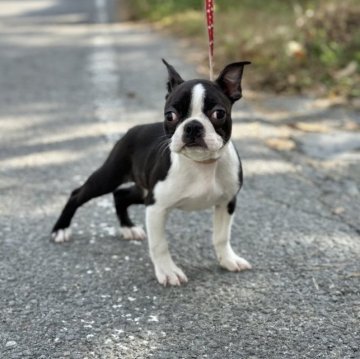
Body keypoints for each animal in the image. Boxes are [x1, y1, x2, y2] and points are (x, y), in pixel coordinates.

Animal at [52, 59, 252, 286]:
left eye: (219, 114)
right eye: (170, 115)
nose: (192, 126)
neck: (201, 164)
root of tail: (133, 130)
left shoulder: (226, 202)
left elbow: (221, 236)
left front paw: (228, 260)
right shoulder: (156, 207)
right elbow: (159, 245)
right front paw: (168, 271)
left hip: (143, 190)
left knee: (121, 195)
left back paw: (128, 227)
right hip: (111, 176)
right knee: (78, 194)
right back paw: (60, 230)